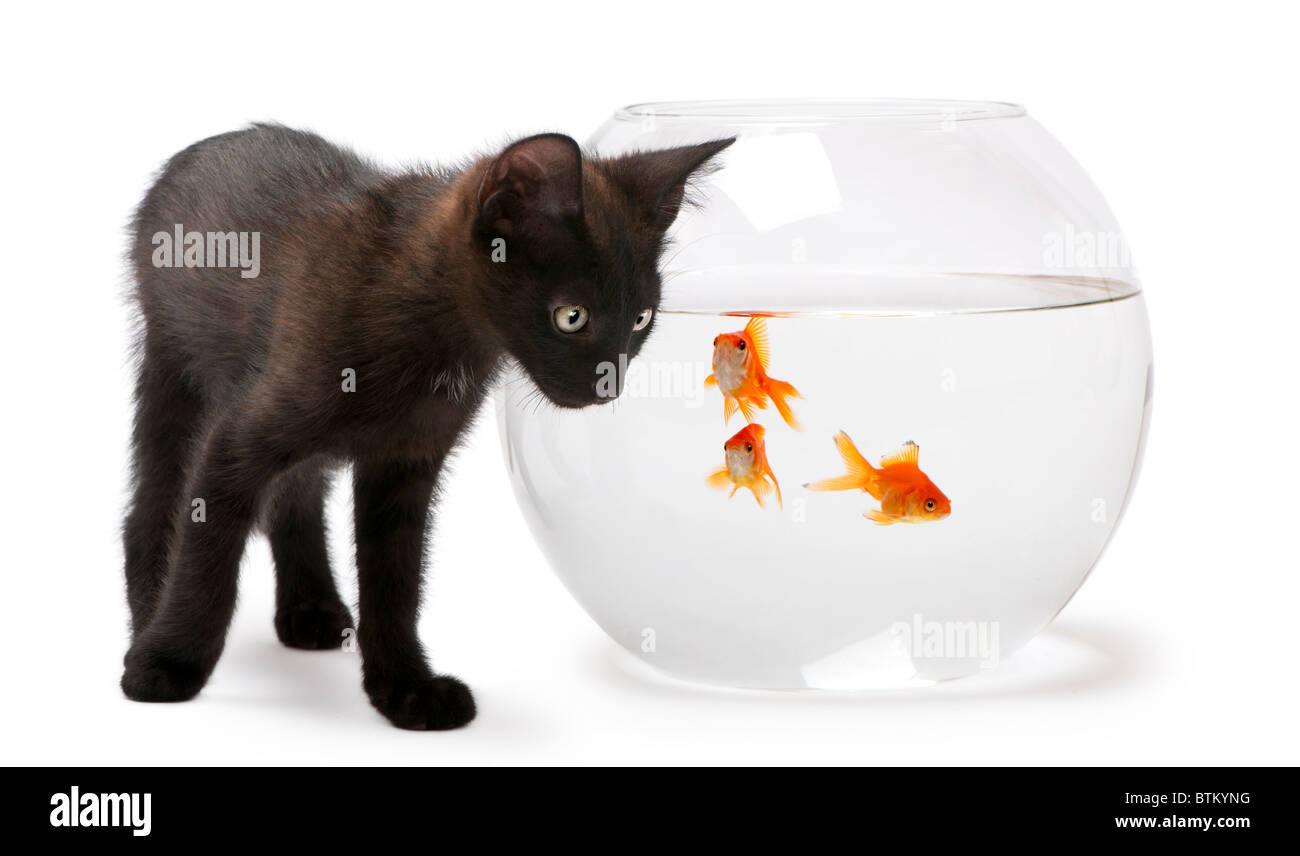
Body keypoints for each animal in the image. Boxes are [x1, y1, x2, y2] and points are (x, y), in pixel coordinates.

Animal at [124, 123, 733, 723]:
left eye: (642, 319)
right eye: (571, 317)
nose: (610, 385)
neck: (437, 334)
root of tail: (205, 145)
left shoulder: (405, 463)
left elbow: (395, 581)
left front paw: (405, 689)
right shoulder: (241, 435)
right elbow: (205, 560)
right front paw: (168, 663)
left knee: (296, 494)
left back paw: (310, 608)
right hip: (173, 367)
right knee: (156, 499)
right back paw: (148, 613)